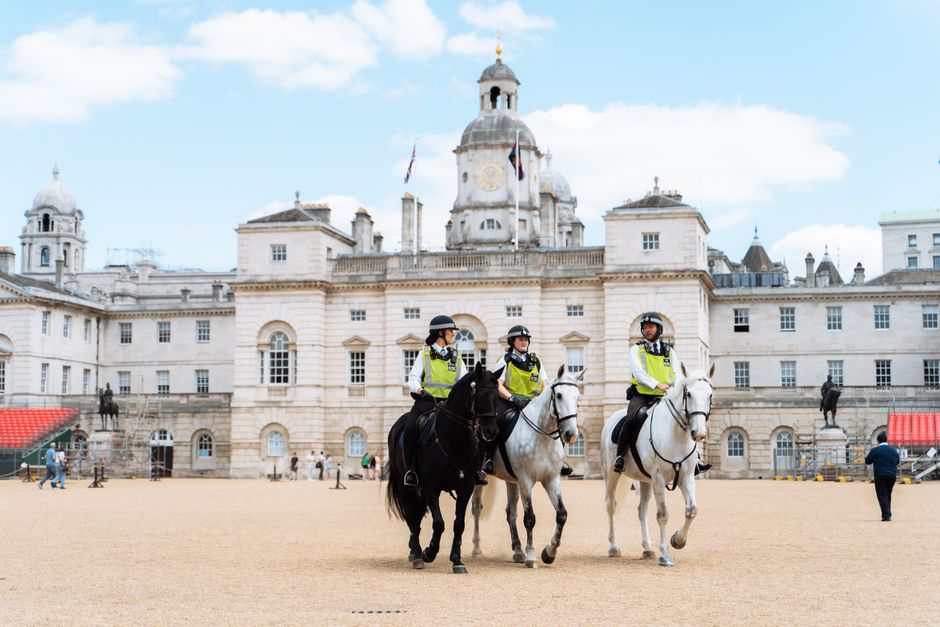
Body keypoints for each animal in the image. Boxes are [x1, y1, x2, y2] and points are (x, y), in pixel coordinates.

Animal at [386, 362, 501, 573]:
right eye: (480, 394)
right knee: (411, 518)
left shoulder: (466, 487)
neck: (454, 439)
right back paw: (417, 554)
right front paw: (429, 552)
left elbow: (459, 524)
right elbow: (439, 523)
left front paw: (457, 560)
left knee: (416, 517)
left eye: (497, 395)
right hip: (405, 485)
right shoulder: (432, 487)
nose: (491, 431)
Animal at [470, 365, 583, 568]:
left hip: (511, 481)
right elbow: (529, 518)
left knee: (511, 513)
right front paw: (532, 555)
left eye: (578, 397)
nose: (571, 434)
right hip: (481, 478)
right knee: (476, 508)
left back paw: (517, 550)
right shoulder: (526, 480)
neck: (542, 436)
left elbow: (561, 514)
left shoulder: (552, 480)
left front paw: (549, 552)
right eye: (559, 395)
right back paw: (477, 548)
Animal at [600, 363, 714, 566]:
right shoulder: (659, 479)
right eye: (689, 394)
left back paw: (647, 548)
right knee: (611, 505)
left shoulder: (686, 477)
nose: (699, 433)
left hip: (645, 481)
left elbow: (692, 510)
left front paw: (678, 540)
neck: (677, 435)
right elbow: (663, 514)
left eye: (710, 395)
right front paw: (665, 554)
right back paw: (614, 547)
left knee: (642, 511)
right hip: (612, 475)